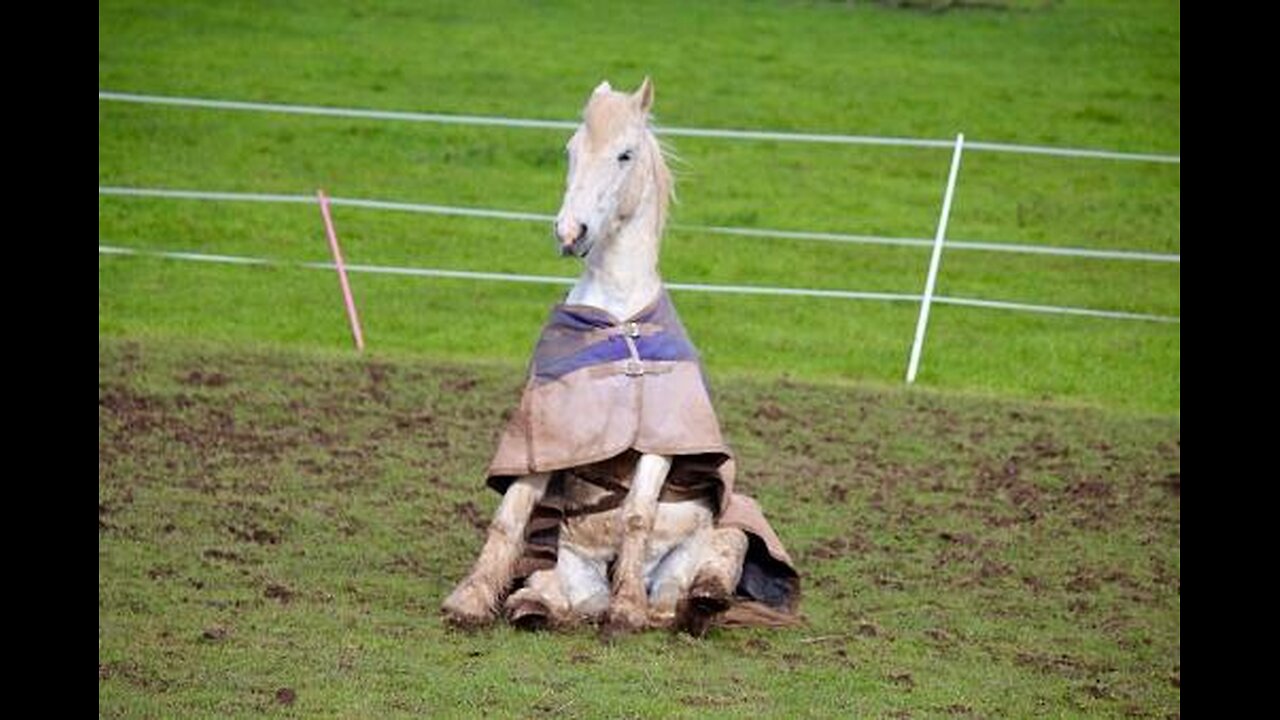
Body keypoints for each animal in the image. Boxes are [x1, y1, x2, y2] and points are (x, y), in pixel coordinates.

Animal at [441, 78, 799, 635]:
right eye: (570, 151)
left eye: (624, 154)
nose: (571, 232)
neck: (619, 318)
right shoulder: (544, 436)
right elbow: (512, 513)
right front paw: (471, 598)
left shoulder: (663, 437)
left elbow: (637, 512)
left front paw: (627, 608)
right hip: (570, 572)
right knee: (566, 601)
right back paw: (531, 604)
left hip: (723, 538)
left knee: (689, 586)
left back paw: (698, 600)